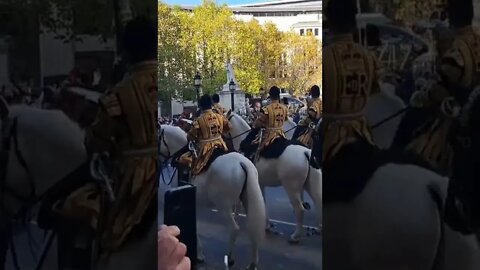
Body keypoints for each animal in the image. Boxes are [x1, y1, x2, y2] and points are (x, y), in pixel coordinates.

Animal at [160, 125, 266, 270]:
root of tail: (242, 163)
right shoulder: (196, 203)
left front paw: (199, 255)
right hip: (247, 200)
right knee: (253, 227)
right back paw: (252, 263)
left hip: (223, 206)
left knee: (234, 229)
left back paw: (230, 259)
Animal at [226, 113, 322, 243]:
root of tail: (306, 153)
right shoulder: (260, 184)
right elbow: (263, 202)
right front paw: (267, 225)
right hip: (311, 185)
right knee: (319, 202)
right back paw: (319, 228)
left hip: (291, 187)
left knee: (299, 209)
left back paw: (296, 236)